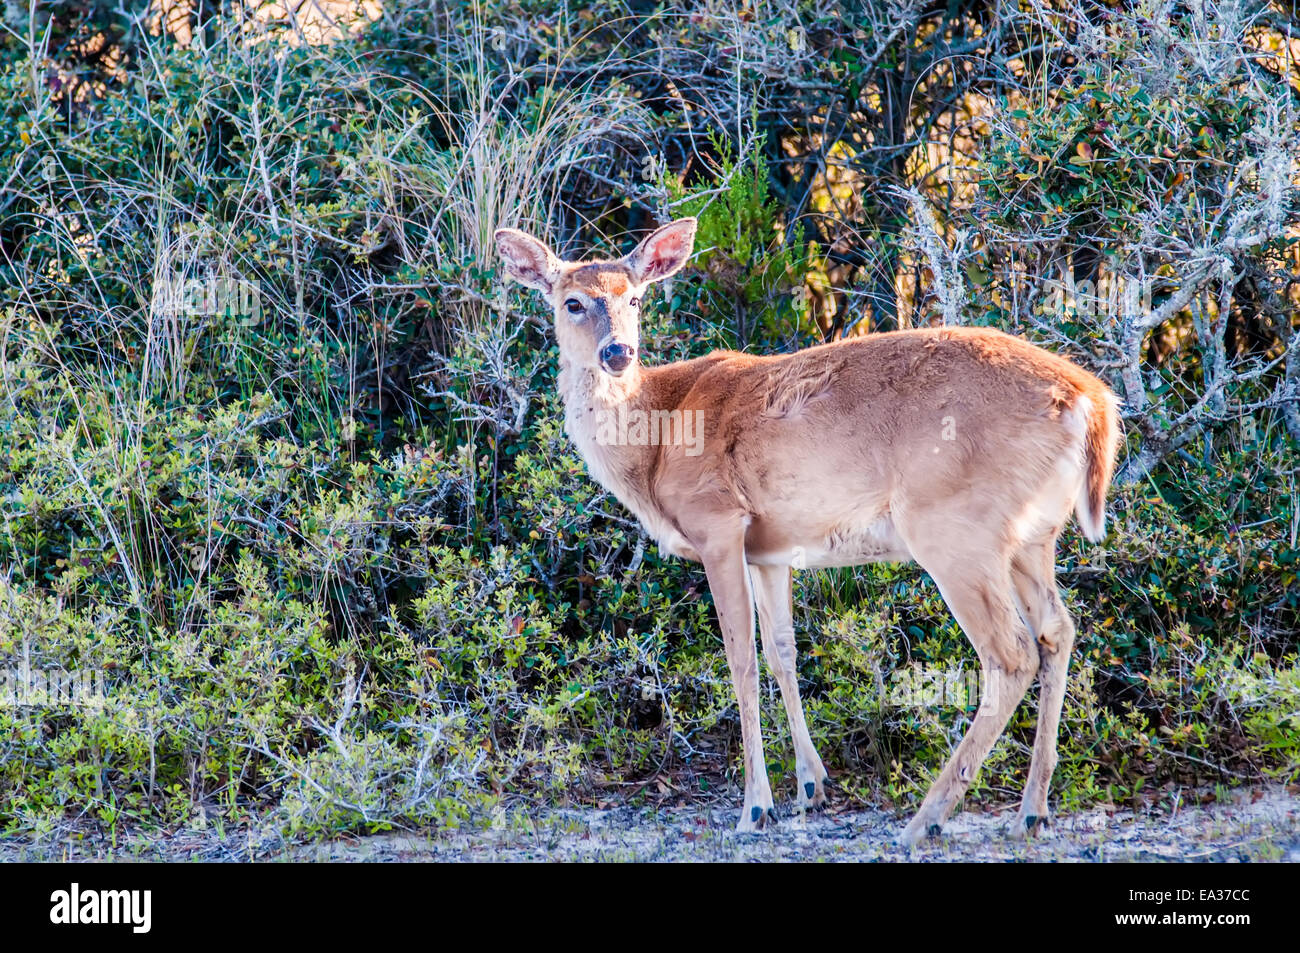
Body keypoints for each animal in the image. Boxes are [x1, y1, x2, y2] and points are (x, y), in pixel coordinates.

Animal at [491, 219, 1123, 842]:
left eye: (636, 298)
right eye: (572, 302)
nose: (618, 352)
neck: (658, 438)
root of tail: (1091, 401)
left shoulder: (717, 521)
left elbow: (740, 659)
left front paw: (754, 808)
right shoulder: (769, 551)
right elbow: (782, 653)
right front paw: (810, 786)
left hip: (954, 526)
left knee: (1011, 653)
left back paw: (927, 818)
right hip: (1031, 536)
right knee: (1057, 631)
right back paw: (1030, 812)